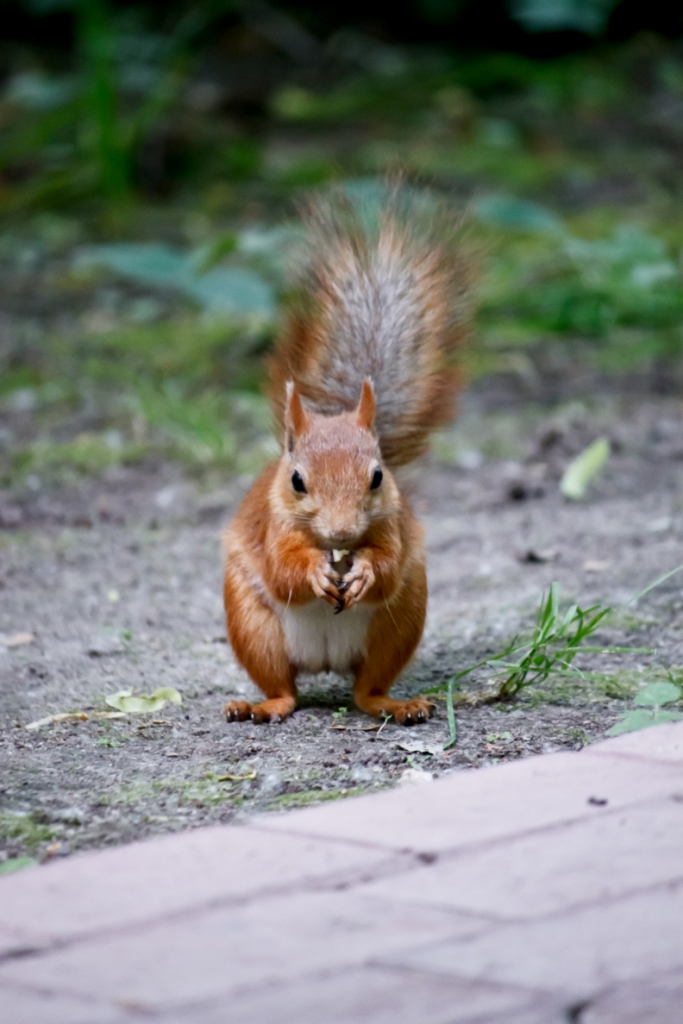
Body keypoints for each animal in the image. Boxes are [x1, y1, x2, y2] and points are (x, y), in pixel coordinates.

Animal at [223, 186, 471, 729]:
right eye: (296, 481)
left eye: (377, 476)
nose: (340, 534)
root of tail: (325, 662)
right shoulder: (274, 525)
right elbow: (283, 569)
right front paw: (316, 572)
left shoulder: (391, 523)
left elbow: (388, 564)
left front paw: (364, 572)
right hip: (253, 626)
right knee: (284, 689)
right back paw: (259, 705)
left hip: (402, 619)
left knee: (366, 690)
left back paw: (397, 704)